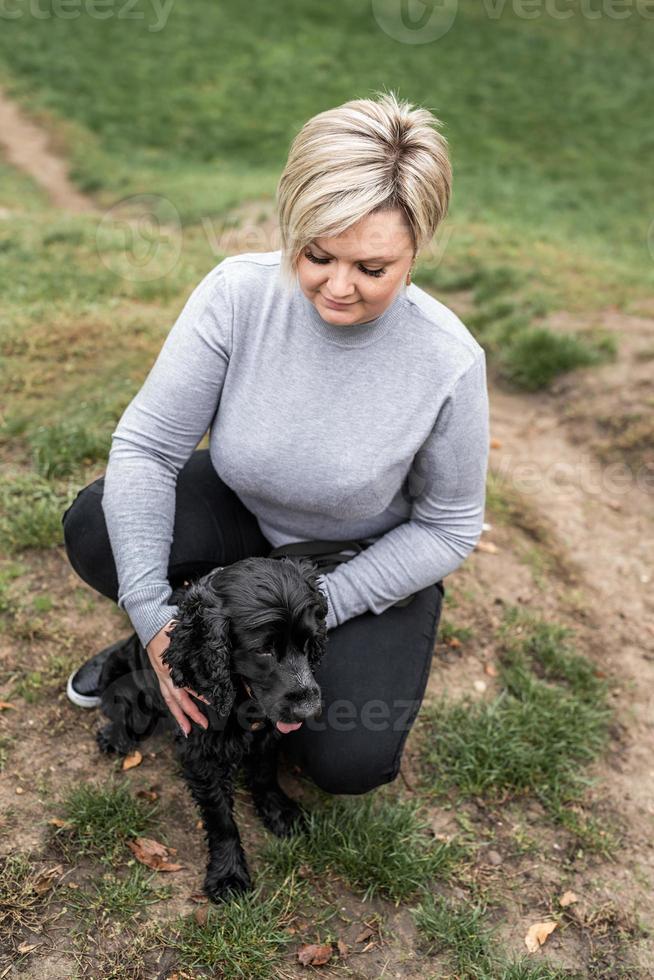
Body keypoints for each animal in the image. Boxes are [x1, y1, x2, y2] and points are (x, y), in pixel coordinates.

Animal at [93, 560, 328, 904]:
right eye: (264, 651)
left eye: (309, 641)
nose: (310, 710)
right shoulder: (200, 749)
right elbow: (220, 818)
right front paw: (228, 874)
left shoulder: (265, 733)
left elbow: (264, 772)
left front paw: (279, 811)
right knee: (126, 710)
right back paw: (115, 737)